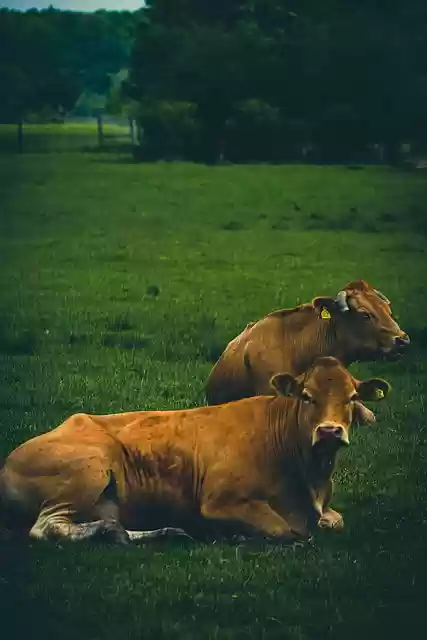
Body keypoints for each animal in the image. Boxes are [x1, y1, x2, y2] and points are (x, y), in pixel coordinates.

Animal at [0, 357, 390, 545]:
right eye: (307, 396)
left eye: (352, 398)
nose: (329, 430)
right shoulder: (220, 501)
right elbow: (287, 532)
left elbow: (333, 522)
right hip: (89, 468)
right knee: (47, 529)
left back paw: (153, 532)